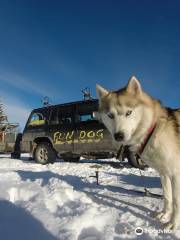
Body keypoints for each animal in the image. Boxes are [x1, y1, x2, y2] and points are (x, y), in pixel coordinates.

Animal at [97, 77, 180, 231]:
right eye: (110, 115)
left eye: (129, 113)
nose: (118, 136)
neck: (153, 129)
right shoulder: (164, 174)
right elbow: (167, 197)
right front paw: (165, 214)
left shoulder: (176, 174)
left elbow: (176, 202)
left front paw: (173, 224)